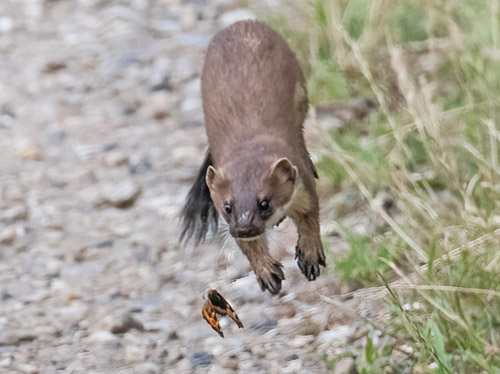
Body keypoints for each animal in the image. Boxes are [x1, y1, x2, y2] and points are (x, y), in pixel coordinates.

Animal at [182, 19, 326, 296]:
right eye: (227, 207)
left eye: (265, 202)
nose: (244, 227)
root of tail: (241, 23)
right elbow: (249, 248)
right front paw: (267, 273)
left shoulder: (301, 183)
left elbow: (309, 217)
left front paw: (310, 256)